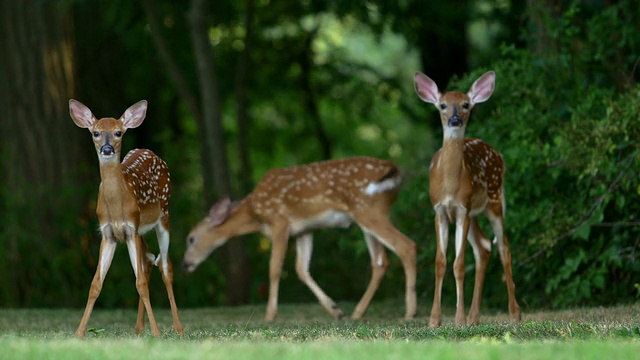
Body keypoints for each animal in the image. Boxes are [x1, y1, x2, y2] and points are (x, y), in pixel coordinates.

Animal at [71, 99, 184, 338]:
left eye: (118, 132)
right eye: (95, 132)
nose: (107, 149)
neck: (116, 207)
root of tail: (150, 152)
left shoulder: (131, 229)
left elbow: (139, 283)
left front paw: (157, 332)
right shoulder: (108, 234)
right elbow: (95, 284)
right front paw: (79, 332)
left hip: (164, 215)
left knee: (165, 266)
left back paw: (178, 327)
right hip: (142, 230)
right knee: (149, 261)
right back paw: (139, 327)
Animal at [182, 158, 418, 320]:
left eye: (191, 238)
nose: (185, 264)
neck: (254, 213)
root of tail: (393, 170)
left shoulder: (279, 222)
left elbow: (275, 268)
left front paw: (270, 315)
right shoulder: (304, 230)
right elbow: (301, 269)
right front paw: (336, 311)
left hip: (368, 210)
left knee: (407, 246)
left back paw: (409, 313)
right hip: (366, 216)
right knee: (380, 261)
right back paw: (357, 313)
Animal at [416, 70, 520, 326]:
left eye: (465, 104)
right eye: (442, 105)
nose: (455, 120)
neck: (450, 186)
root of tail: (499, 155)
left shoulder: (461, 209)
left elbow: (459, 263)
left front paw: (459, 319)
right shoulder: (440, 210)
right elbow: (440, 262)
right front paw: (435, 320)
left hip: (493, 200)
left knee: (504, 248)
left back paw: (515, 314)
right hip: (474, 212)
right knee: (484, 247)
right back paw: (475, 317)